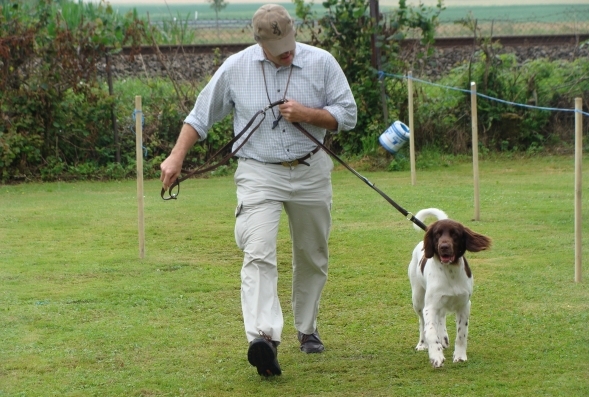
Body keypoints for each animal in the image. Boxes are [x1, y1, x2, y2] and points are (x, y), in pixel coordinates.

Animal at [406, 209, 490, 366]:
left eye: (455, 234)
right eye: (437, 234)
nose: (444, 247)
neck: (450, 272)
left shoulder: (464, 304)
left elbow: (462, 334)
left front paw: (460, 356)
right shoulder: (430, 306)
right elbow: (430, 331)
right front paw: (436, 356)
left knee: (441, 316)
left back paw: (443, 338)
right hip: (418, 299)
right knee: (422, 322)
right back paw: (422, 344)